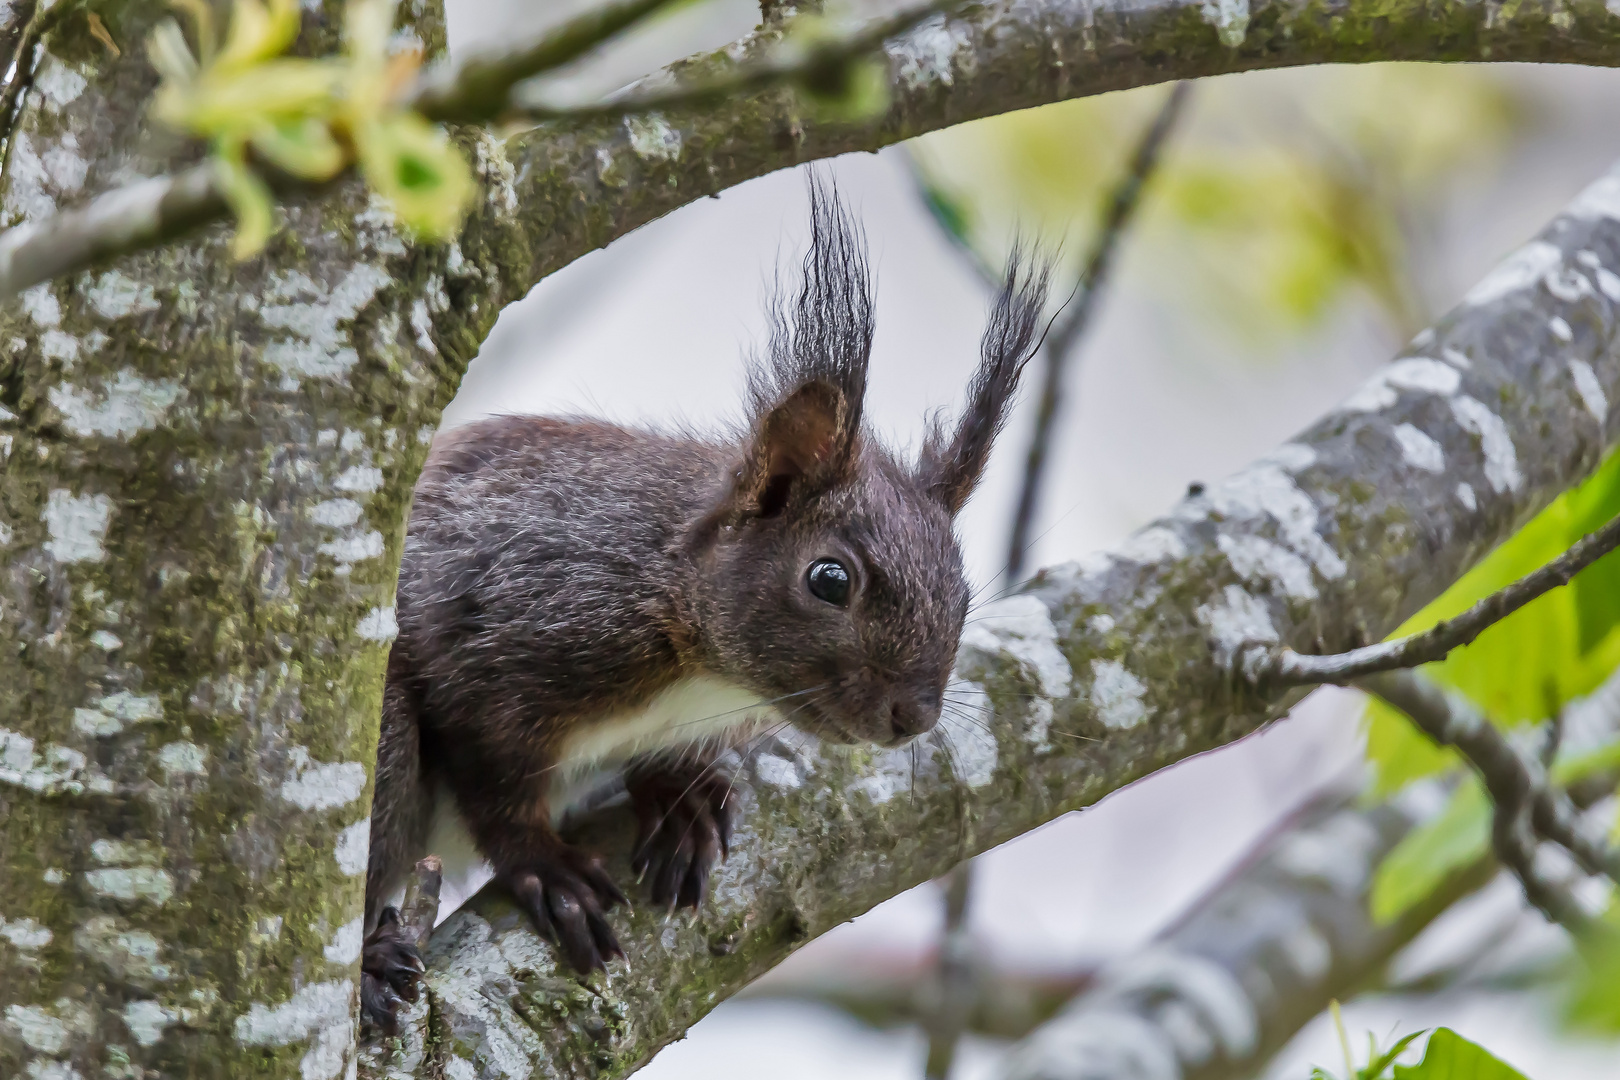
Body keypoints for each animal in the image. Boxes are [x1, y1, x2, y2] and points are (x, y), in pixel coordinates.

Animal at [358, 177, 1049, 1029]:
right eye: (830, 579)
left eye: (961, 586)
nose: (913, 717)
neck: (696, 659)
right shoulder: (503, 637)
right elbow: (494, 787)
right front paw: (546, 867)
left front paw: (680, 799)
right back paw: (370, 964)